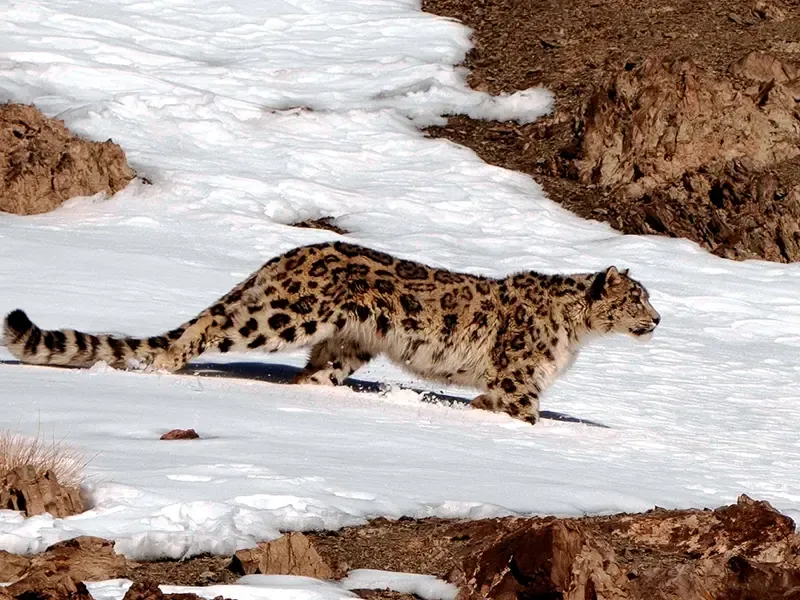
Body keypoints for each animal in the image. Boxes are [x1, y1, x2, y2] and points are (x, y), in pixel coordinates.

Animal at [2, 241, 660, 425]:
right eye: (637, 297)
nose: (657, 320)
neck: (575, 335)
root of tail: (287, 255)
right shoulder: (521, 381)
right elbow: (524, 415)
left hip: (349, 342)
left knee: (313, 373)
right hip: (284, 316)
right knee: (212, 323)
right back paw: (170, 364)